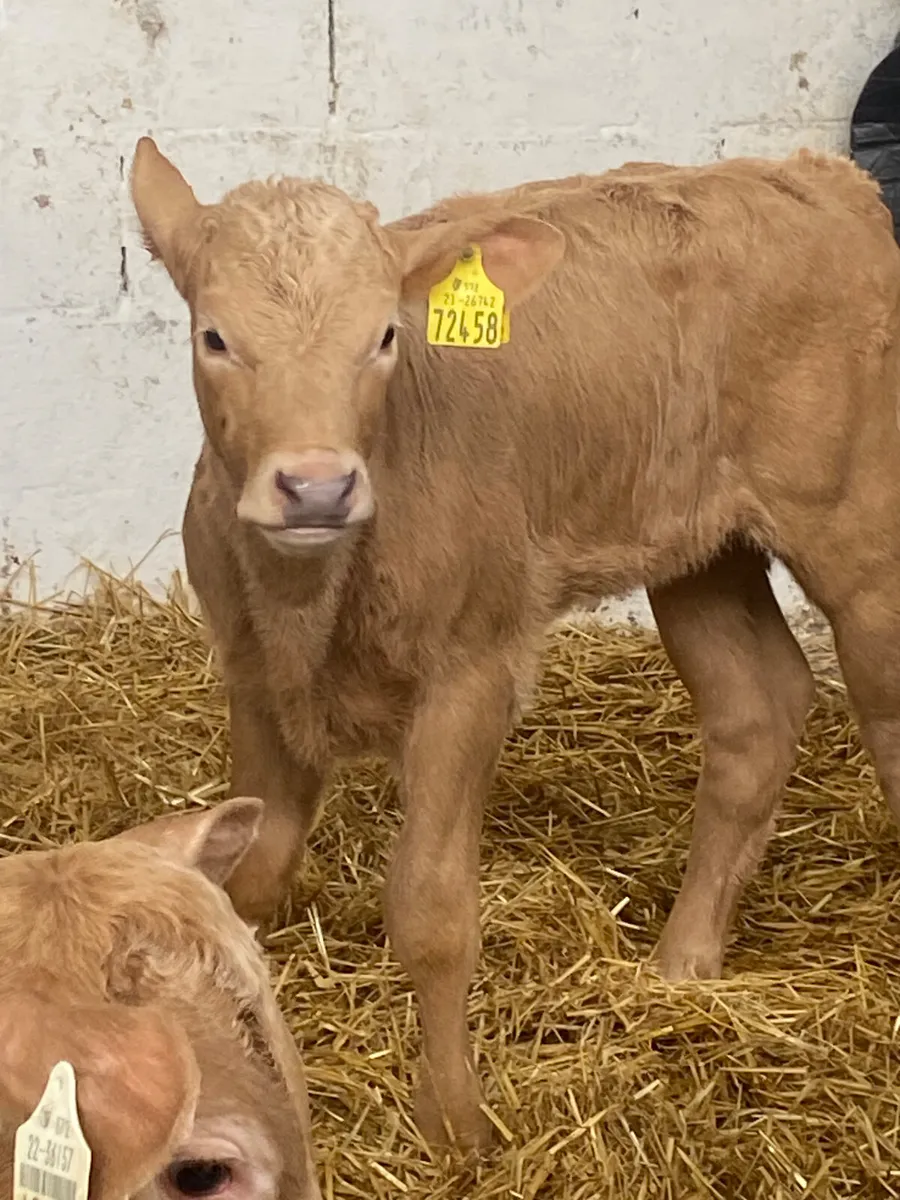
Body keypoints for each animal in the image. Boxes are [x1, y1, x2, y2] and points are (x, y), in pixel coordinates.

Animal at [131, 137, 900, 1153]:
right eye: (215, 337)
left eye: (383, 336)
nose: (316, 486)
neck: (312, 599)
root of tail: (822, 175)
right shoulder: (255, 677)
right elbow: (250, 880)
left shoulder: (473, 670)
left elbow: (431, 909)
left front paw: (456, 1126)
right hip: (699, 546)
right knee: (756, 711)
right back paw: (682, 966)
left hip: (862, 531)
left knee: (882, 716)